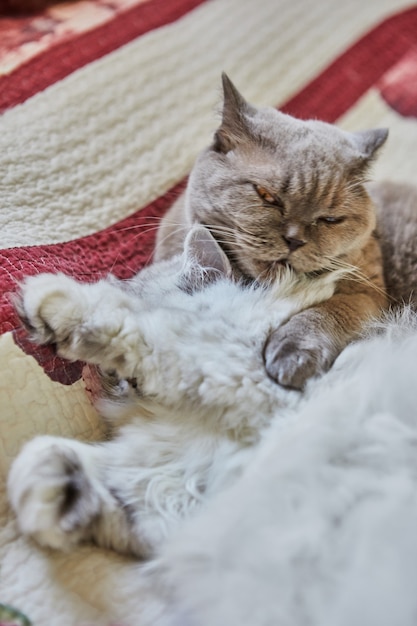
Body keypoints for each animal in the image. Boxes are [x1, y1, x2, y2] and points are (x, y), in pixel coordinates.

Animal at [8, 224, 344, 556]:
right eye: (112, 374)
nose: (128, 384)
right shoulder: (182, 489)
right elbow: (86, 479)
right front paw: (46, 488)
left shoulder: (239, 373)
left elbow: (136, 330)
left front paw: (49, 298)